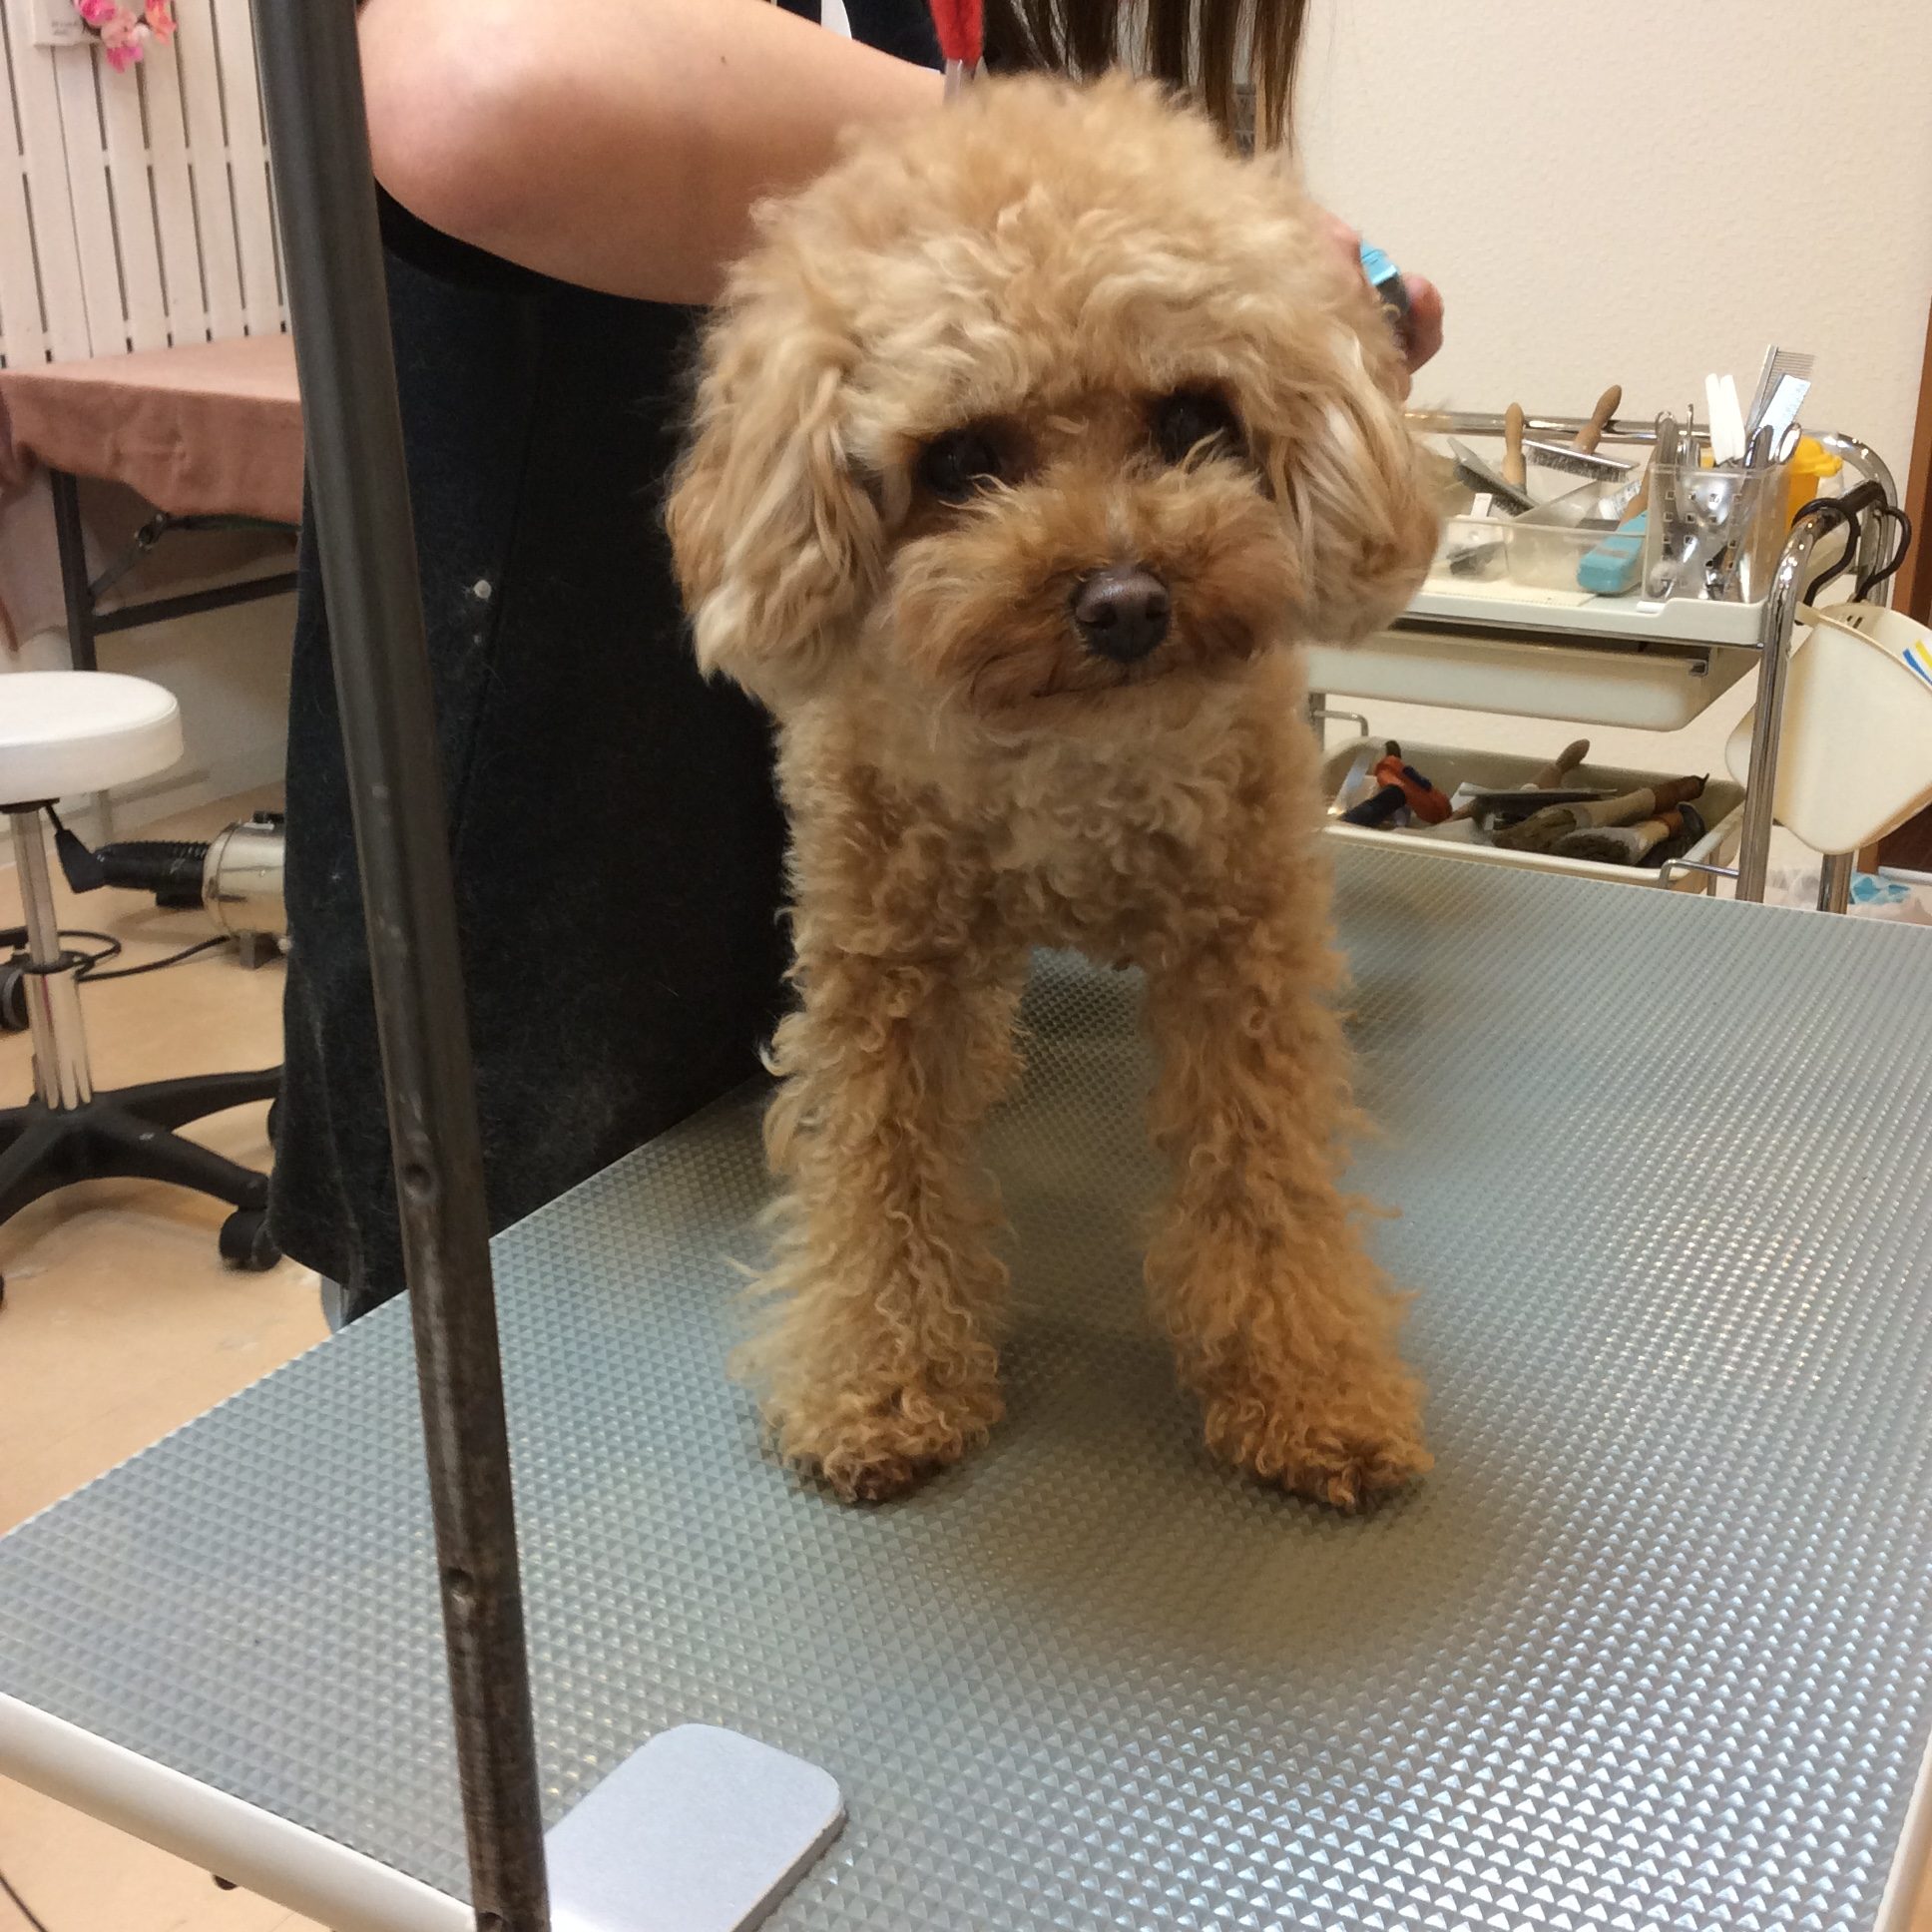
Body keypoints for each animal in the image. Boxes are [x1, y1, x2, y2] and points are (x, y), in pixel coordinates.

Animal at [666, 73, 1439, 1508]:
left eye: (1192, 419)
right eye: (961, 458)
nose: (1126, 600)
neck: (1073, 759)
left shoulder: (1243, 951)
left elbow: (1265, 1173)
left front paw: (1310, 1390)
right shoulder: (879, 962)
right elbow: (881, 1173)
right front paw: (879, 1384)